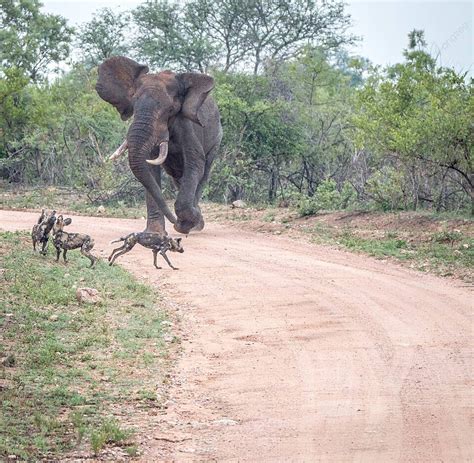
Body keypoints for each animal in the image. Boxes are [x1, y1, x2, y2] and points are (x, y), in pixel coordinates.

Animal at [96, 55, 224, 234]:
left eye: (170, 110)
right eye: (134, 104)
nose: (175, 222)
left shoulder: (187, 126)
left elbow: (195, 163)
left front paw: (184, 225)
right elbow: (149, 167)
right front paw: (155, 233)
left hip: (217, 139)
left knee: (203, 174)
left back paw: (196, 224)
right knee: (177, 176)